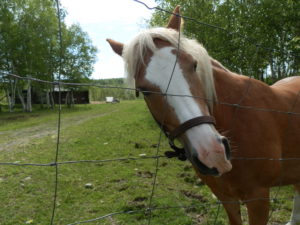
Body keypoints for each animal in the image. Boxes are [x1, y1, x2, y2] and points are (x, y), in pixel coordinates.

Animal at [107, 5, 300, 225]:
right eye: (144, 90)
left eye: (194, 64)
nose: (213, 153)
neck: (237, 116)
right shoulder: (225, 197)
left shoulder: (258, 198)